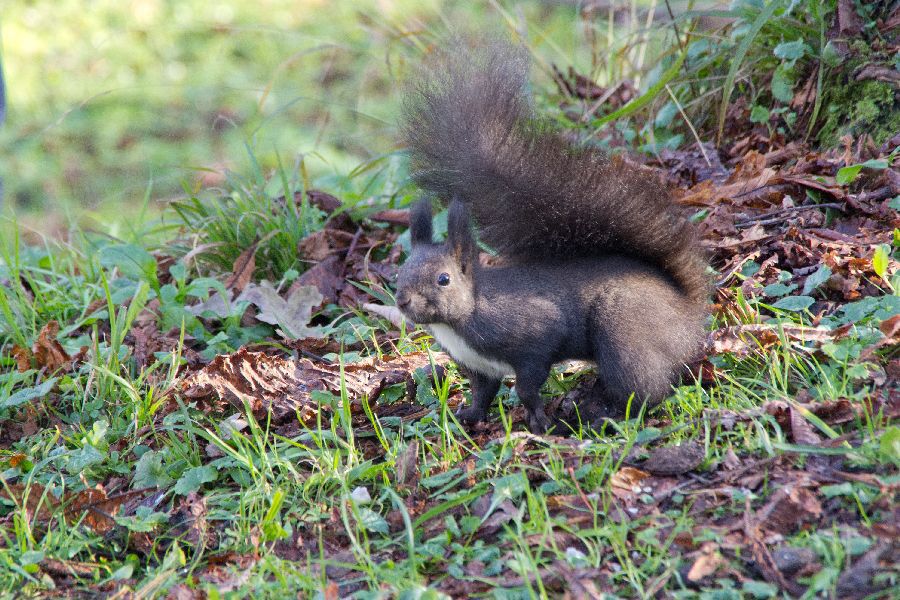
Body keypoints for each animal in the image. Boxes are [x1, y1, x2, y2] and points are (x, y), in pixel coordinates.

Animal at [394, 41, 712, 432]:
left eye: (444, 279)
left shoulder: (535, 335)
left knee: (646, 391)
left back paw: (605, 418)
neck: (463, 317)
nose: (402, 300)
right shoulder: (478, 366)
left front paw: (539, 421)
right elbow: (483, 392)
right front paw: (467, 415)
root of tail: (688, 312)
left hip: (624, 332)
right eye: (400, 272)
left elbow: (528, 384)